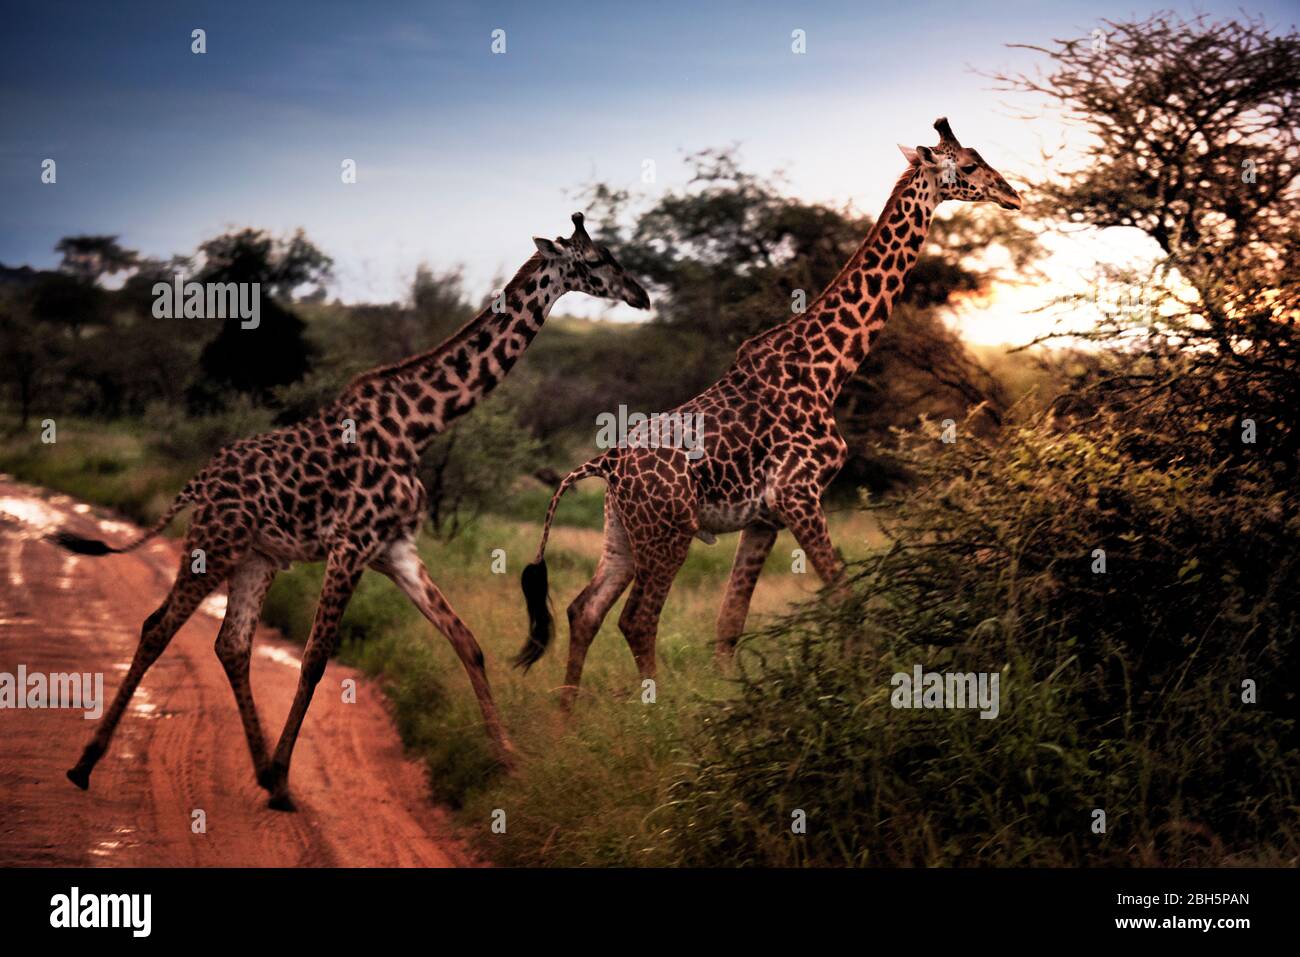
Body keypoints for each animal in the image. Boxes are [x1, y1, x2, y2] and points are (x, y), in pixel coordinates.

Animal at [50, 210, 650, 806]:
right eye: (597, 260)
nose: (641, 295)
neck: (419, 427)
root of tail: (199, 480)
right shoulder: (350, 546)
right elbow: (315, 658)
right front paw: (285, 777)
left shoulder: (395, 550)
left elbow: (467, 642)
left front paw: (509, 762)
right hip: (214, 542)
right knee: (158, 626)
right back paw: (85, 765)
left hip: (257, 557)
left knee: (232, 644)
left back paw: (256, 768)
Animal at [517, 117, 1024, 712]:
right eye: (967, 165)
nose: (1013, 194)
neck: (831, 367)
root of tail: (606, 463)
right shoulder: (798, 495)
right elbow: (845, 599)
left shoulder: (764, 517)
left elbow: (729, 623)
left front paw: (734, 703)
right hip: (669, 533)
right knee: (636, 619)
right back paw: (653, 711)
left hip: (622, 532)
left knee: (585, 609)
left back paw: (565, 714)